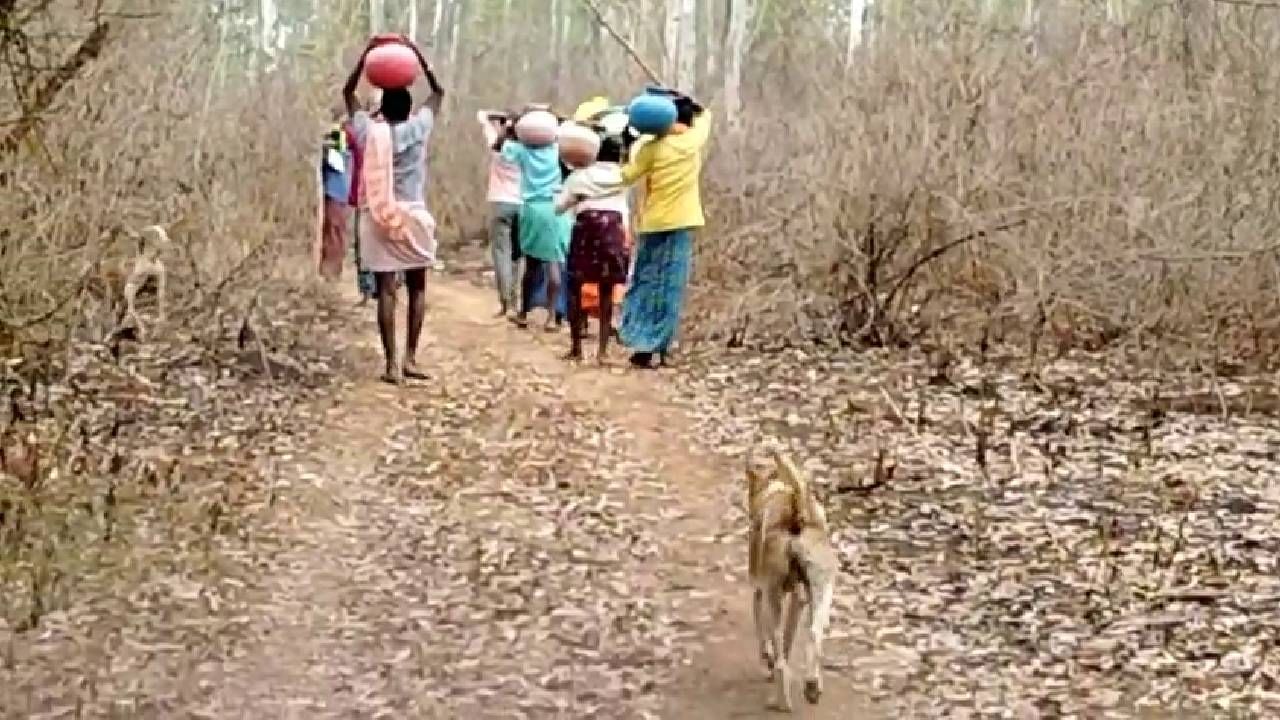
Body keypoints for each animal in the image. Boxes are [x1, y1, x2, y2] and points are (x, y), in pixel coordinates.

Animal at [747, 450, 834, 707]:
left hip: (772, 597)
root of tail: (797, 512)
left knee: (780, 658)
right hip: (823, 590)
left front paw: (766, 661)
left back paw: (780, 700)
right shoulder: (799, 600)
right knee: (814, 635)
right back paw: (812, 685)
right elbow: (787, 643)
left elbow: (765, 639)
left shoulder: (759, 592)